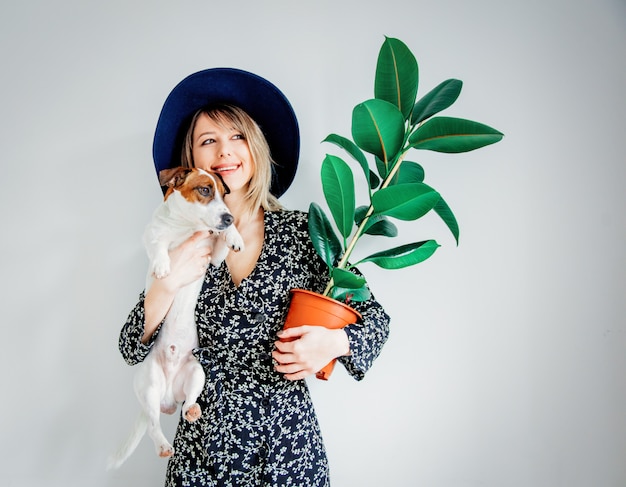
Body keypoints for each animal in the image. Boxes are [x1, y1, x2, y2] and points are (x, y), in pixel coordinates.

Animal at [107, 167, 244, 468]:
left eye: (224, 193)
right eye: (205, 190)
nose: (229, 216)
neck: (186, 227)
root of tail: (168, 397)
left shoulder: (212, 257)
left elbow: (221, 240)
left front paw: (235, 236)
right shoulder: (151, 235)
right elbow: (159, 244)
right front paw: (161, 265)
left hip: (196, 373)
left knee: (189, 401)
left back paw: (191, 410)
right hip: (149, 385)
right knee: (153, 426)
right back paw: (162, 444)